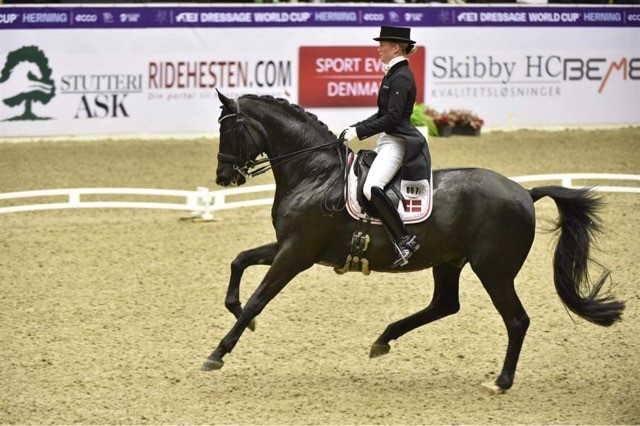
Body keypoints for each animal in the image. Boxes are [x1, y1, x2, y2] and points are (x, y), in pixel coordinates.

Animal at [205, 90, 624, 392]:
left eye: (229, 130)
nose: (224, 177)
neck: (316, 174)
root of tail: (525, 192)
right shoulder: (291, 246)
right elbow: (239, 261)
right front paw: (236, 316)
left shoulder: (297, 253)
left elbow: (258, 300)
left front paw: (218, 353)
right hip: (450, 261)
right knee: (445, 304)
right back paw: (383, 340)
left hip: (494, 270)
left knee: (516, 319)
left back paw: (501, 382)